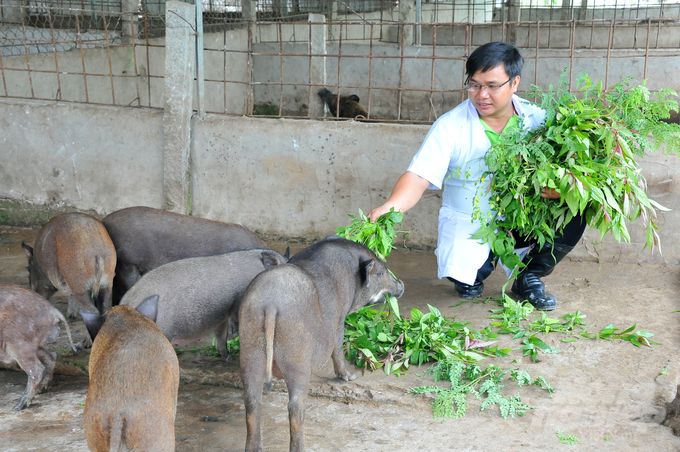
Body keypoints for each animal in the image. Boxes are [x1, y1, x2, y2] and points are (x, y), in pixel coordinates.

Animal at [239, 237, 404, 452]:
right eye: (381, 273)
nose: (401, 284)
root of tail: (269, 304)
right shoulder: (340, 317)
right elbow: (338, 343)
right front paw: (350, 377)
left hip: (250, 347)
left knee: (252, 401)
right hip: (297, 356)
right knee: (295, 405)